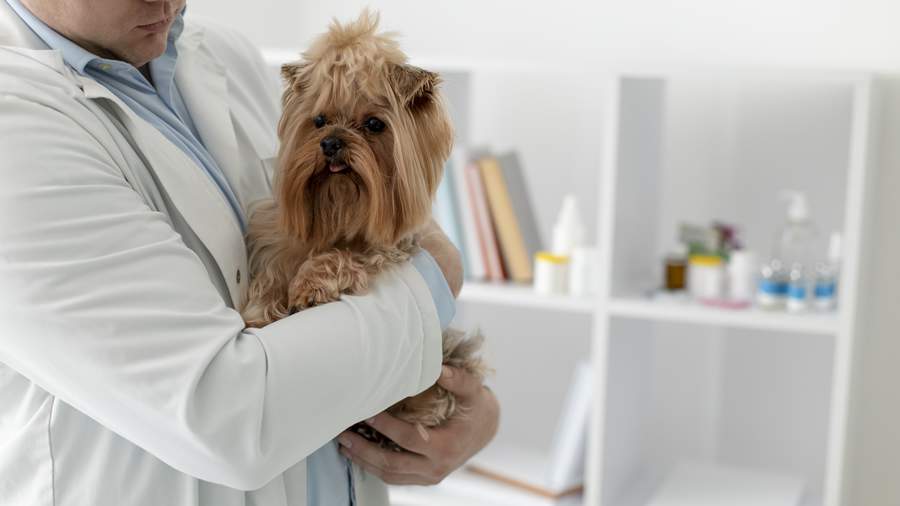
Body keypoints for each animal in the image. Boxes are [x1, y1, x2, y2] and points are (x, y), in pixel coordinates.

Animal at [241, 9, 486, 446]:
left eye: (374, 124)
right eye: (319, 120)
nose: (331, 143)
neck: (339, 207)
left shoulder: (385, 246)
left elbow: (345, 255)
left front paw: (309, 285)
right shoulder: (276, 235)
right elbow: (271, 270)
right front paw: (261, 311)